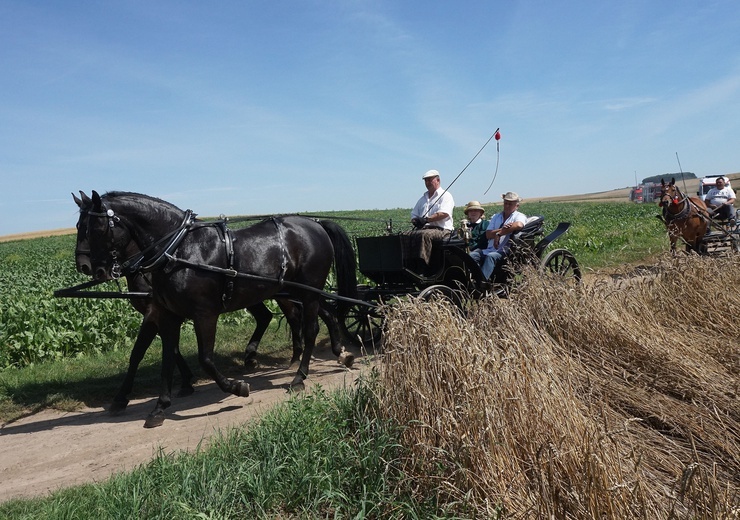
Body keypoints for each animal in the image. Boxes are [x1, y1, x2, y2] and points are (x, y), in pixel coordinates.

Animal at [79, 191, 356, 426]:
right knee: (323, 315)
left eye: (96, 228)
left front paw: (237, 387)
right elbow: (166, 357)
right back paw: (338, 353)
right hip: (299, 292)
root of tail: (315, 224)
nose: (92, 268)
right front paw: (159, 407)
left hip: (308, 292)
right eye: (80, 226)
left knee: (310, 329)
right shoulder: (168, 315)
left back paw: (299, 377)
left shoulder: (204, 314)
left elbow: (206, 359)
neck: (180, 251)